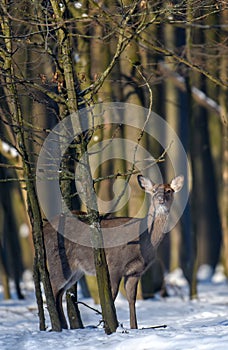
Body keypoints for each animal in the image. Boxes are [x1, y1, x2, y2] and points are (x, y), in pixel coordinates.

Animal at [43, 174, 184, 330]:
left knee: (59, 293)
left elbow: (132, 298)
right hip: (58, 260)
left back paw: (63, 326)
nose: (160, 200)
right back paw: (57, 327)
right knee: (52, 288)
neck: (144, 240)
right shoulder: (115, 265)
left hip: (75, 271)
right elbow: (111, 296)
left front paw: (134, 327)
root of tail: (44, 228)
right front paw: (110, 326)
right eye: (153, 191)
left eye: (169, 190)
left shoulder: (136, 272)